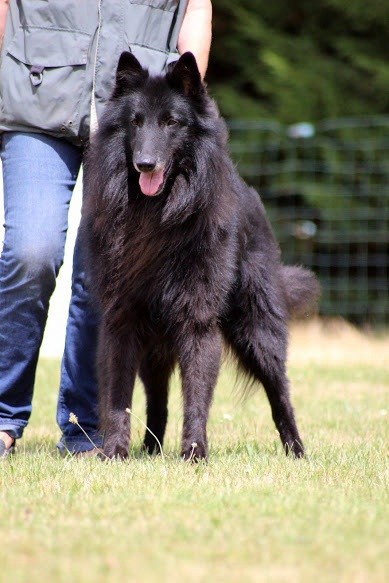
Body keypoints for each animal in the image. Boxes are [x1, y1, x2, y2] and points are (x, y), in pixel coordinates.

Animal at [82, 52, 318, 460]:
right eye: (135, 122)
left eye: (171, 122)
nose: (145, 164)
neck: (156, 214)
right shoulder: (123, 320)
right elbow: (119, 398)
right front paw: (114, 451)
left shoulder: (196, 319)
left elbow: (196, 395)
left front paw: (194, 452)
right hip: (156, 346)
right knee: (157, 400)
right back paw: (151, 448)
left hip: (258, 330)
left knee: (280, 393)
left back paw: (297, 451)